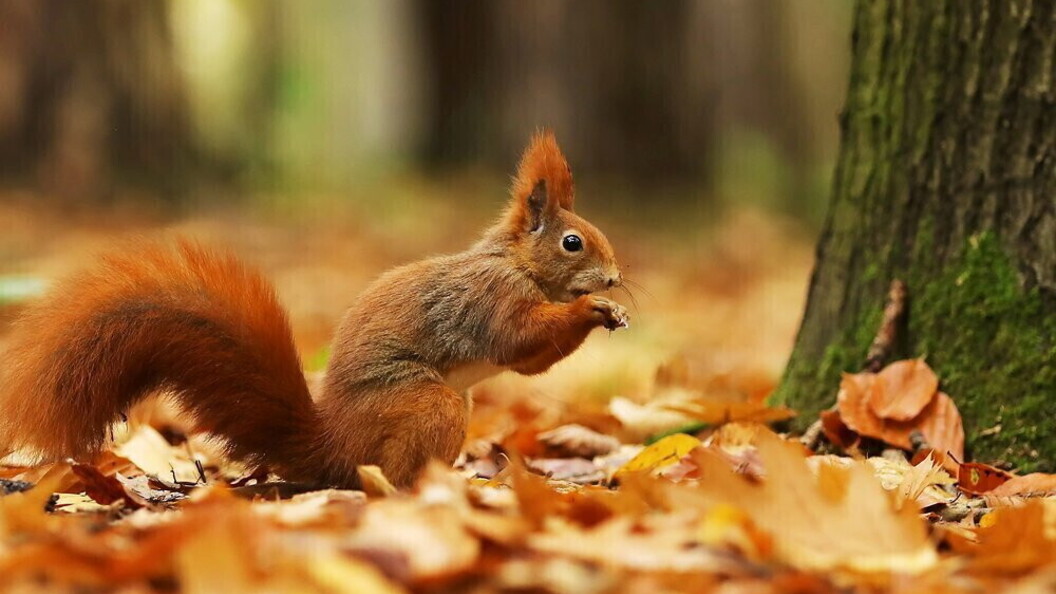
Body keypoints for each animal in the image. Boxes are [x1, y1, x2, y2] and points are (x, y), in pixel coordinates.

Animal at [0, 131, 628, 488]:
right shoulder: (490, 298)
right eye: (573, 242)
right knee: (387, 470)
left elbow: (528, 363)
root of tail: (332, 447)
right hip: (427, 405)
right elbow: (517, 339)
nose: (616, 279)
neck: (516, 264)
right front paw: (592, 309)